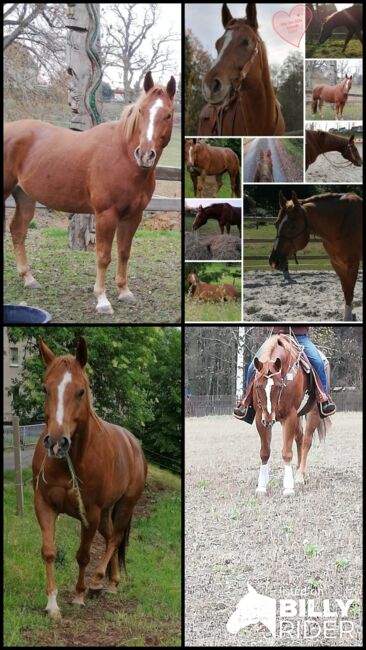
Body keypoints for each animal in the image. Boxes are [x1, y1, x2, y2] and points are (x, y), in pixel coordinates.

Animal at [3, 71, 176, 314]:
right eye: (141, 110)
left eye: (168, 115)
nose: (144, 154)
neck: (123, 156)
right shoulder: (106, 215)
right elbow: (103, 257)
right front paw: (102, 300)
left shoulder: (134, 216)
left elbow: (124, 252)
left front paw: (124, 291)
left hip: (25, 197)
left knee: (18, 231)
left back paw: (29, 279)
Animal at [32, 336, 147, 616]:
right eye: (45, 389)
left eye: (80, 391)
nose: (56, 443)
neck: (69, 463)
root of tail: (134, 444)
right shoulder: (44, 504)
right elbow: (49, 551)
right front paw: (52, 604)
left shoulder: (90, 514)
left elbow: (83, 555)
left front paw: (79, 595)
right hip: (107, 511)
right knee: (110, 537)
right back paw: (112, 581)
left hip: (125, 505)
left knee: (115, 538)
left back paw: (98, 581)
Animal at [252, 334, 328, 496]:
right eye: (257, 386)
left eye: (279, 386)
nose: (269, 419)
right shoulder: (259, 418)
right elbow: (264, 452)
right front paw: (261, 486)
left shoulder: (289, 417)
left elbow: (287, 452)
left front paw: (288, 487)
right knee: (299, 438)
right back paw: (299, 472)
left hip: (313, 412)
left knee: (306, 441)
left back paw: (299, 476)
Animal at [268, 189, 364, 320]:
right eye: (276, 224)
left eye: (292, 226)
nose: (274, 260)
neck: (343, 221)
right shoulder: (337, 264)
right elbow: (345, 290)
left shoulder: (352, 264)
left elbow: (349, 292)